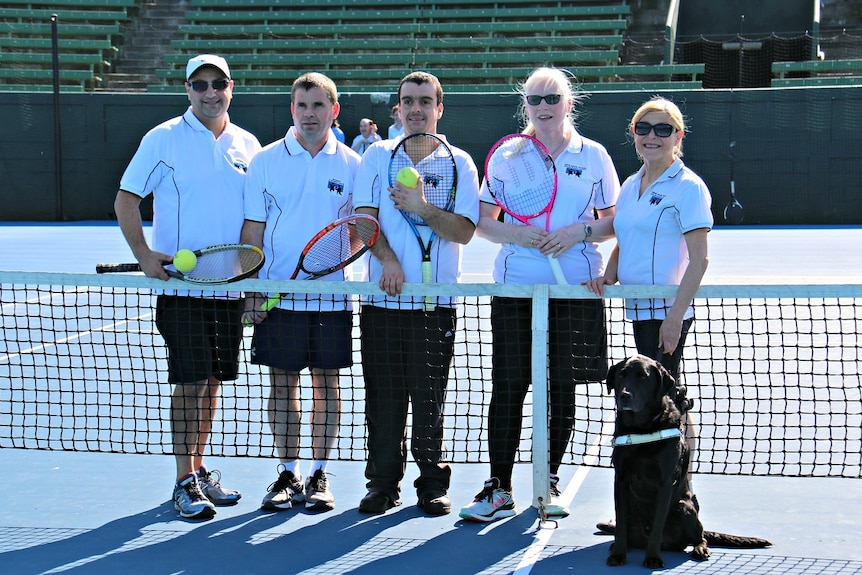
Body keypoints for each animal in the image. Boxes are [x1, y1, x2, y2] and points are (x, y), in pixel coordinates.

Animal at [604, 354, 772, 568]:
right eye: (621, 375)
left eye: (643, 377)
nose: (624, 395)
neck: (642, 428)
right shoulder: (621, 479)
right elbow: (620, 524)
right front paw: (619, 554)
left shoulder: (665, 483)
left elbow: (658, 525)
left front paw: (652, 558)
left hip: (685, 506)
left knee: (700, 537)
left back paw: (700, 549)